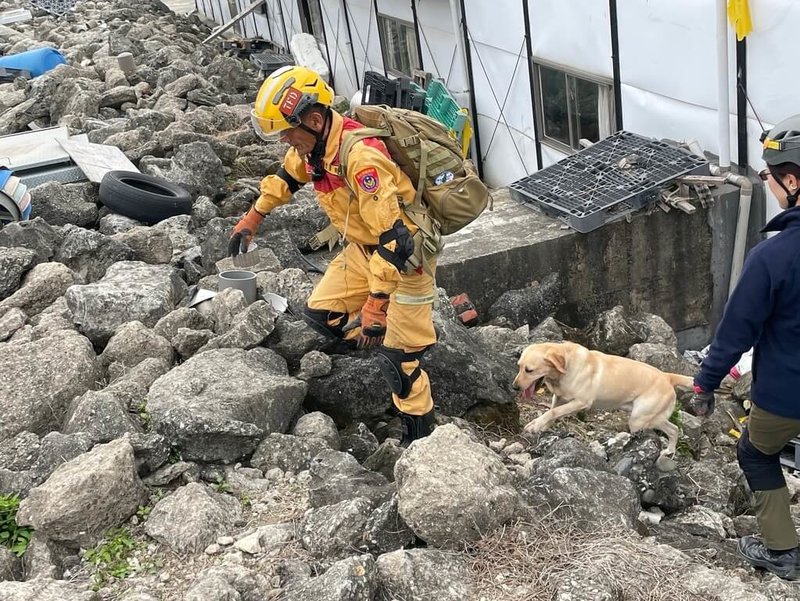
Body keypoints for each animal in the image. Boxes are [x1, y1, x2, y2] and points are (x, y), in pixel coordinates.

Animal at [512, 342, 692, 454]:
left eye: (529, 370)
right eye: (519, 366)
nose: (514, 387)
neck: (567, 364)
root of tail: (667, 376)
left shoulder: (580, 402)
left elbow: (553, 412)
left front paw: (535, 424)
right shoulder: (560, 397)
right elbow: (553, 411)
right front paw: (543, 426)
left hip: (640, 419)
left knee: (669, 429)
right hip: (647, 418)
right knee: (674, 429)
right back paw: (669, 451)